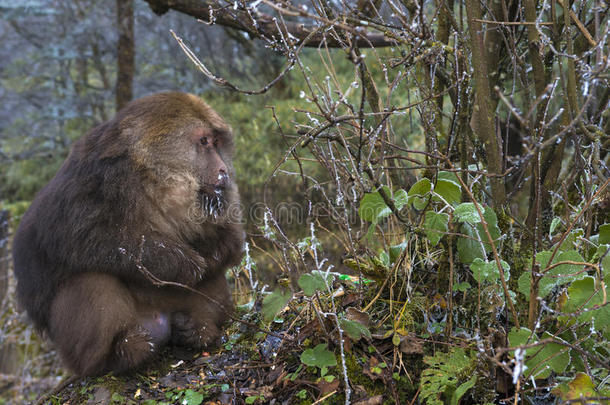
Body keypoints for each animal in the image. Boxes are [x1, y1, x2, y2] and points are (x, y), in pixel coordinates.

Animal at [11, 92, 245, 376]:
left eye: (217, 142)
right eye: (203, 142)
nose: (223, 170)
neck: (153, 178)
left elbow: (231, 239)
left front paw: (211, 251)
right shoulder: (96, 181)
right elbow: (68, 241)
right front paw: (181, 263)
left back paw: (196, 329)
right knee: (91, 279)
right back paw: (118, 354)